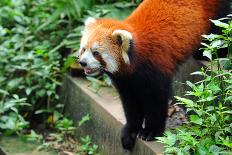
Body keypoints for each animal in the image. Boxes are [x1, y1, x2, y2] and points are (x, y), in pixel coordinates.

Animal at [77, 0, 228, 150]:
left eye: (96, 53)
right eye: (84, 49)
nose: (82, 62)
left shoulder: (155, 67)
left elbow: (156, 101)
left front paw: (150, 132)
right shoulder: (125, 81)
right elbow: (131, 104)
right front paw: (130, 131)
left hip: (217, 11)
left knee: (219, 27)